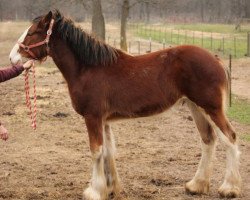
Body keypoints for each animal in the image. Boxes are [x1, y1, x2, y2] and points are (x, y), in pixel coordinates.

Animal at [9, 10, 242, 198]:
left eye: (32, 33)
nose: (12, 58)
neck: (88, 69)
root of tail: (216, 58)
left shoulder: (93, 117)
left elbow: (96, 151)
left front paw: (94, 191)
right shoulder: (103, 120)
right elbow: (108, 152)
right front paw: (110, 189)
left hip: (211, 108)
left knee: (229, 138)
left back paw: (229, 189)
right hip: (195, 107)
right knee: (208, 140)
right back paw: (196, 186)